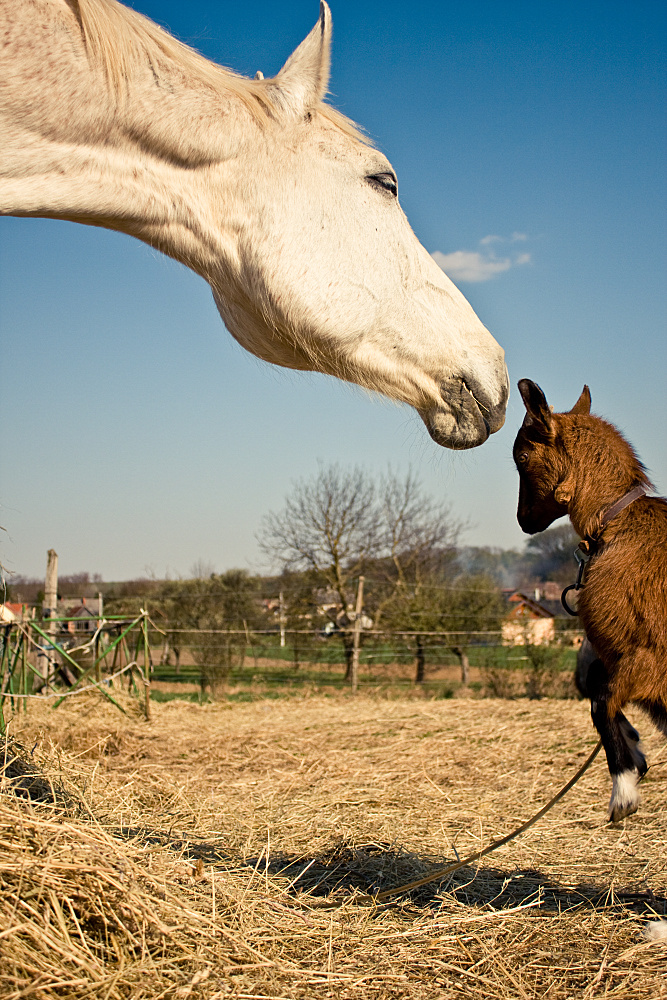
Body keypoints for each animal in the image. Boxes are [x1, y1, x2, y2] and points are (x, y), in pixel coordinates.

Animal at [516, 378, 664, 832]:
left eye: (522, 456)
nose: (523, 520)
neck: (620, 524)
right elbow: (597, 690)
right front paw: (636, 753)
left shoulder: (647, 660)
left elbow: (600, 703)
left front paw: (624, 793)